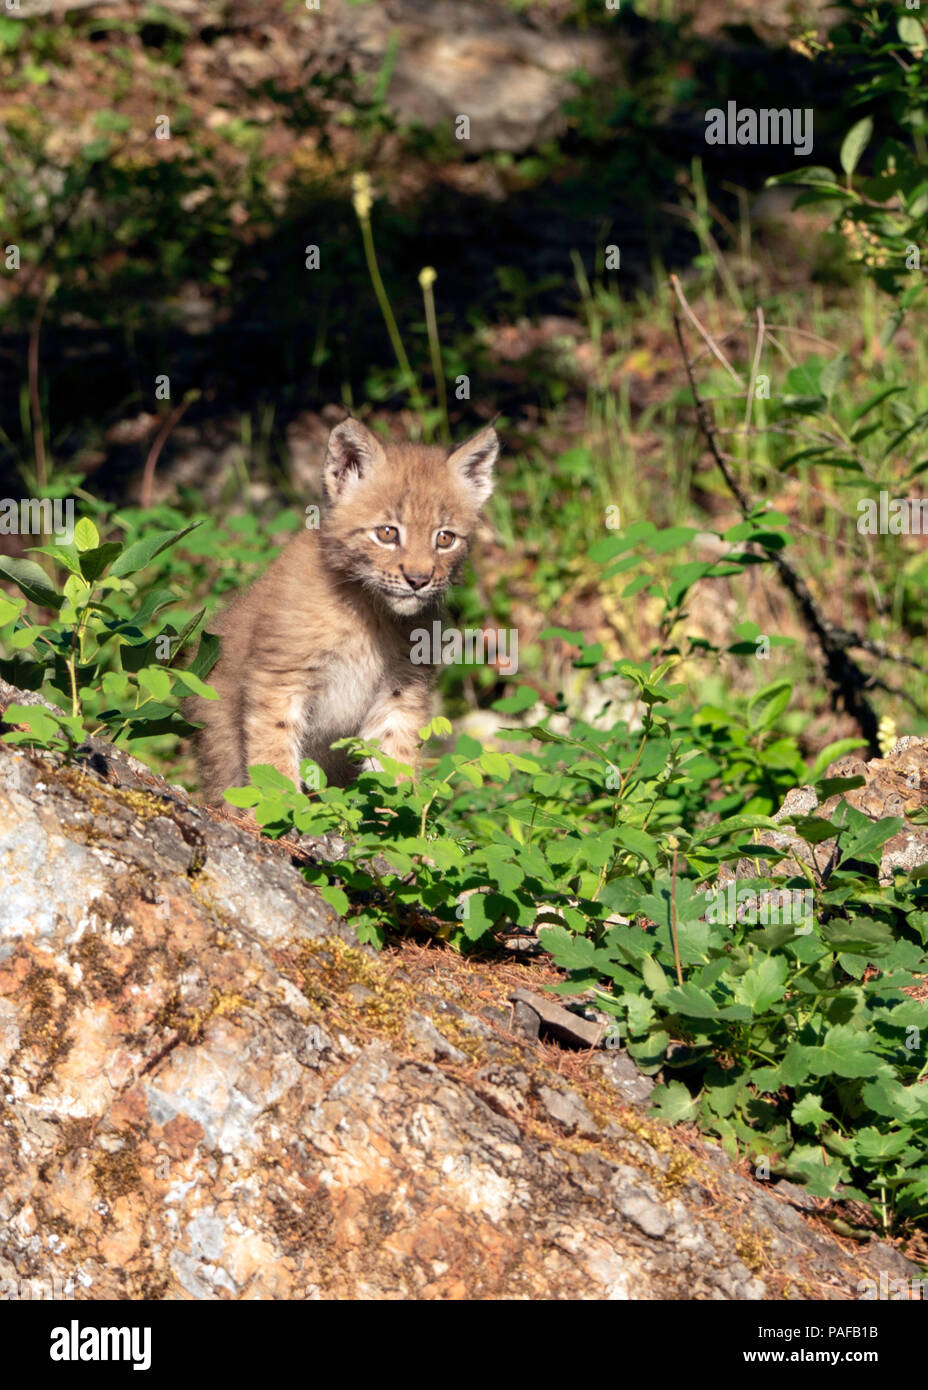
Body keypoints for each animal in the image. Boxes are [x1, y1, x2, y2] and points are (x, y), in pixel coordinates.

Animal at [187, 414, 500, 806]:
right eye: (387, 533)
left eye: (445, 539)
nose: (418, 580)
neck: (371, 610)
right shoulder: (281, 676)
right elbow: (274, 753)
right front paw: (284, 810)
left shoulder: (400, 689)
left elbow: (394, 760)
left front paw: (402, 817)